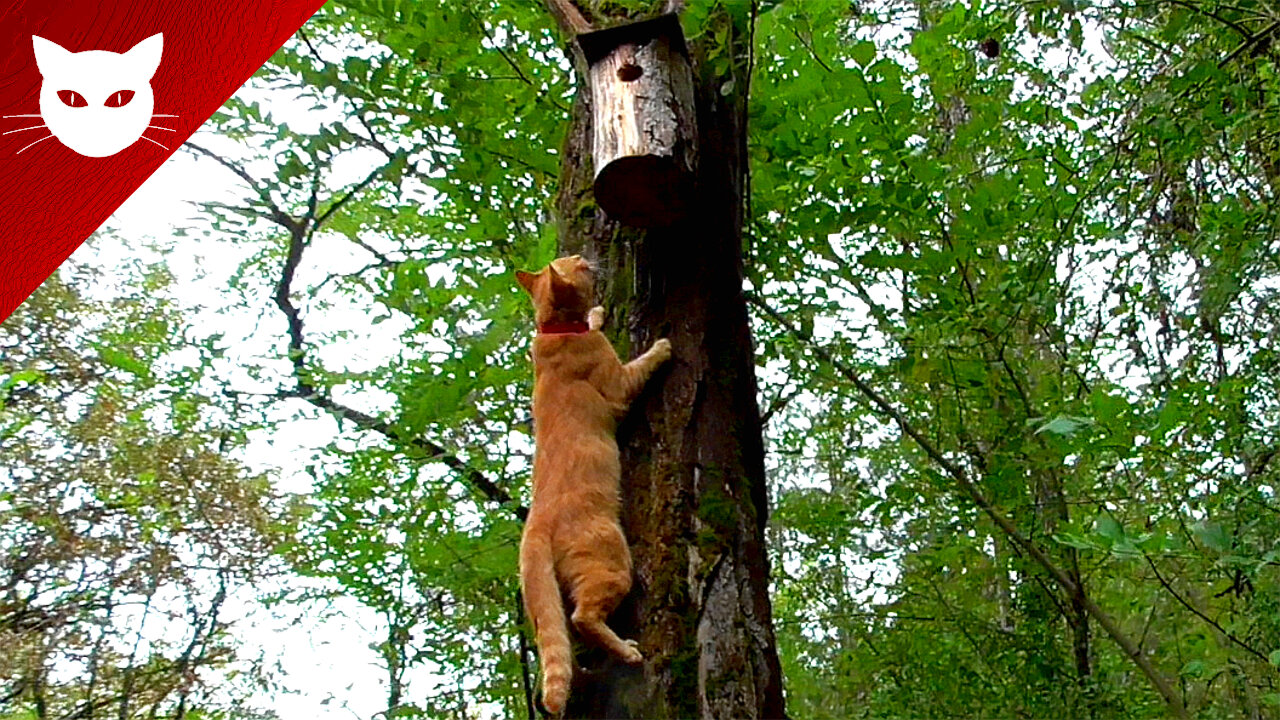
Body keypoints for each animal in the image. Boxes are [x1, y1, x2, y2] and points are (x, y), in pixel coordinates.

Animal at [512, 253, 670, 712]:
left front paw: (598, 314)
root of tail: (535, 523)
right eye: (577, 265)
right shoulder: (618, 385)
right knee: (582, 617)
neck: (555, 331)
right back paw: (628, 652)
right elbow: (640, 366)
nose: (587, 259)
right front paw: (662, 347)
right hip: (612, 561)